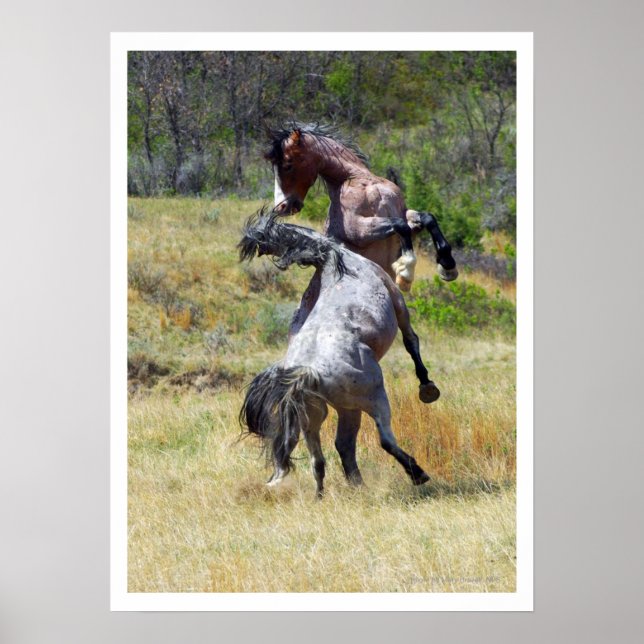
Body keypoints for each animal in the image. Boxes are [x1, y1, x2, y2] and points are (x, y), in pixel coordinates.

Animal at [239, 209, 431, 496]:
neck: (337, 263)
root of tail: (308, 374)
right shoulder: (397, 300)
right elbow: (412, 342)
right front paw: (427, 385)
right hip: (372, 398)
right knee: (383, 440)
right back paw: (417, 474)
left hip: (316, 416)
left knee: (321, 458)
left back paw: (327, 494)